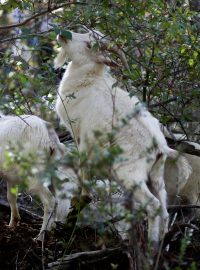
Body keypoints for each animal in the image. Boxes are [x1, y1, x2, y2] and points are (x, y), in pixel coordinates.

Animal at [53, 30, 191, 246]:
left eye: (88, 44)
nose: (62, 35)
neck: (87, 83)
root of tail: (160, 146)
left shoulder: (83, 139)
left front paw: (81, 198)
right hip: (155, 177)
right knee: (164, 210)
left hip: (130, 175)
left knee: (153, 206)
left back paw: (150, 248)